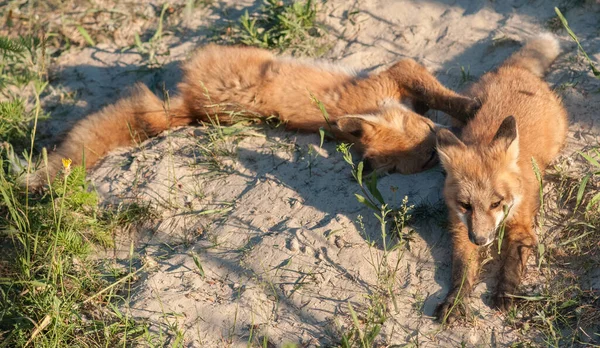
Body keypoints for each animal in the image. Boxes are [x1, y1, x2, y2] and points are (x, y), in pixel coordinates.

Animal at [28, 44, 480, 188]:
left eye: (430, 136)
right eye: (429, 156)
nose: (449, 146)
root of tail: (192, 109)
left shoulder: (399, 81)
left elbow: (434, 93)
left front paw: (462, 106)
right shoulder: (395, 72)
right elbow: (436, 89)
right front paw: (469, 107)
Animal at [432, 34, 568, 322]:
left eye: (496, 203)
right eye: (465, 205)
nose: (481, 241)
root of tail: (513, 69)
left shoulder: (523, 226)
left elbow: (511, 265)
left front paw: (505, 293)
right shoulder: (462, 229)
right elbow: (461, 272)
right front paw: (454, 299)